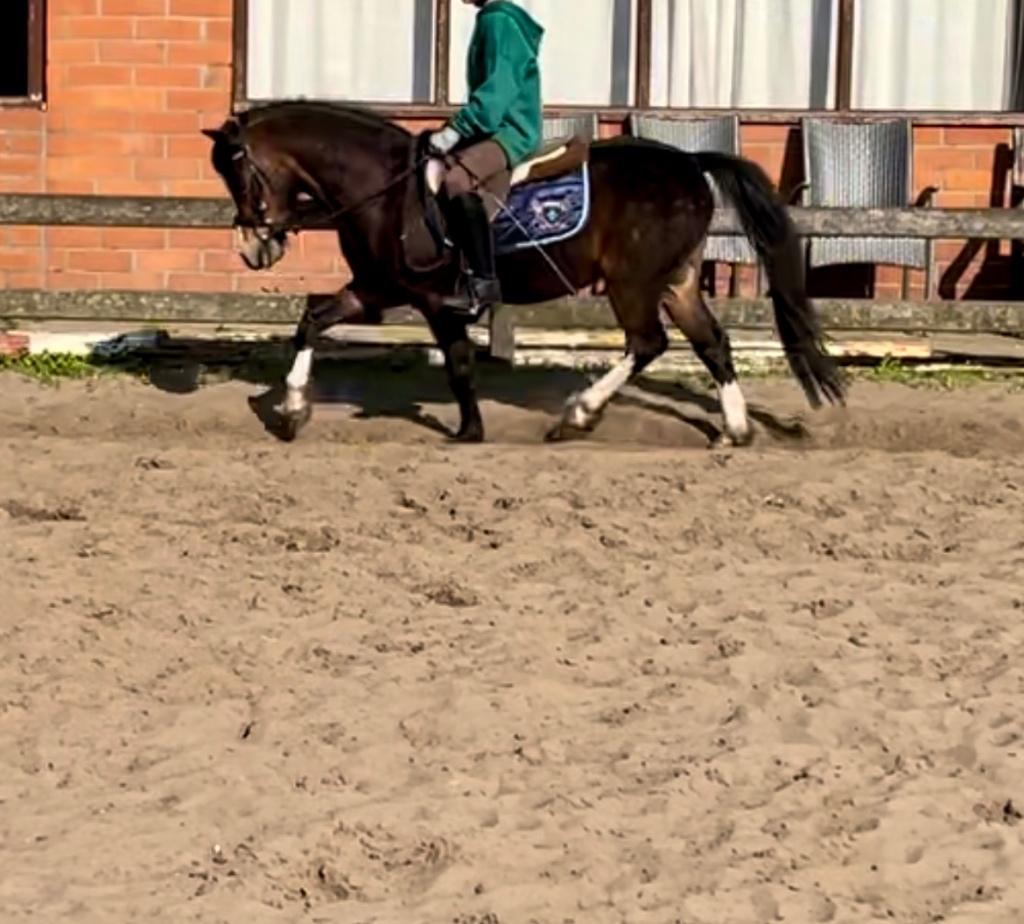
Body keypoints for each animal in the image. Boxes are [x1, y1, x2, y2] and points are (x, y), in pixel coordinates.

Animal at [202, 101, 845, 445]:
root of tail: (689, 161)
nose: (254, 250)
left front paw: (469, 430)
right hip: (678, 280)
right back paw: (734, 429)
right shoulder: (376, 289)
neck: (383, 187)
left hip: (634, 282)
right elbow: (312, 319)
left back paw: (578, 415)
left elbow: (459, 363)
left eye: (239, 171)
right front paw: (291, 411)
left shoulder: (432, 298)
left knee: (647, 342)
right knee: (712, 343)